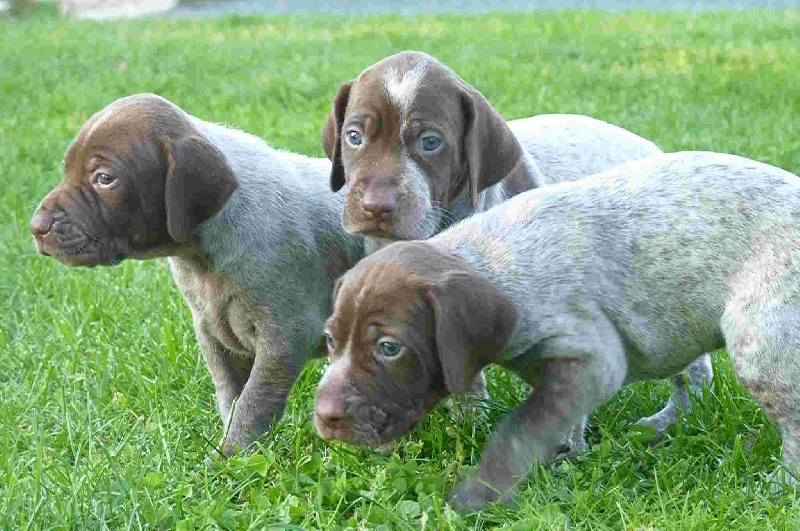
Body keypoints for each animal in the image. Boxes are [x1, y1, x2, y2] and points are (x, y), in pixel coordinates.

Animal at [28, 92, 362, 458]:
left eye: (104, 178)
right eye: (66, 168)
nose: (36, 227)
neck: (201, 258)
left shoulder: (285, 336)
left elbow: (254, 401)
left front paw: (230, 456)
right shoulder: (213, 333)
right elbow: (230, 395)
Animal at [316, 152, 800, 512]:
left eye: (389, 348)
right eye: (330, 340)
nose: (324, 417)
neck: (486, 261)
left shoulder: (594, 360)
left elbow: (518, 431)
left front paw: (480, 492)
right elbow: (559, 419)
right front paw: (567, 455)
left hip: (761, 345)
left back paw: (778, 485)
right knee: (693, 377)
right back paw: (661, 426)